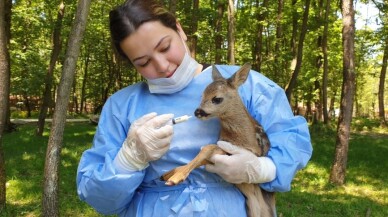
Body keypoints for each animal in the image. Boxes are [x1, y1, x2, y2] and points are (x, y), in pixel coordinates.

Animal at [161, 63, 276, 217]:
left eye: (217, 99)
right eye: (202, 95)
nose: (197, 112)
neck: (240, 136)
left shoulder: (251, 153)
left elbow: (207, 148)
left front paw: (176, 177)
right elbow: (205, 154)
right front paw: (170, 173)